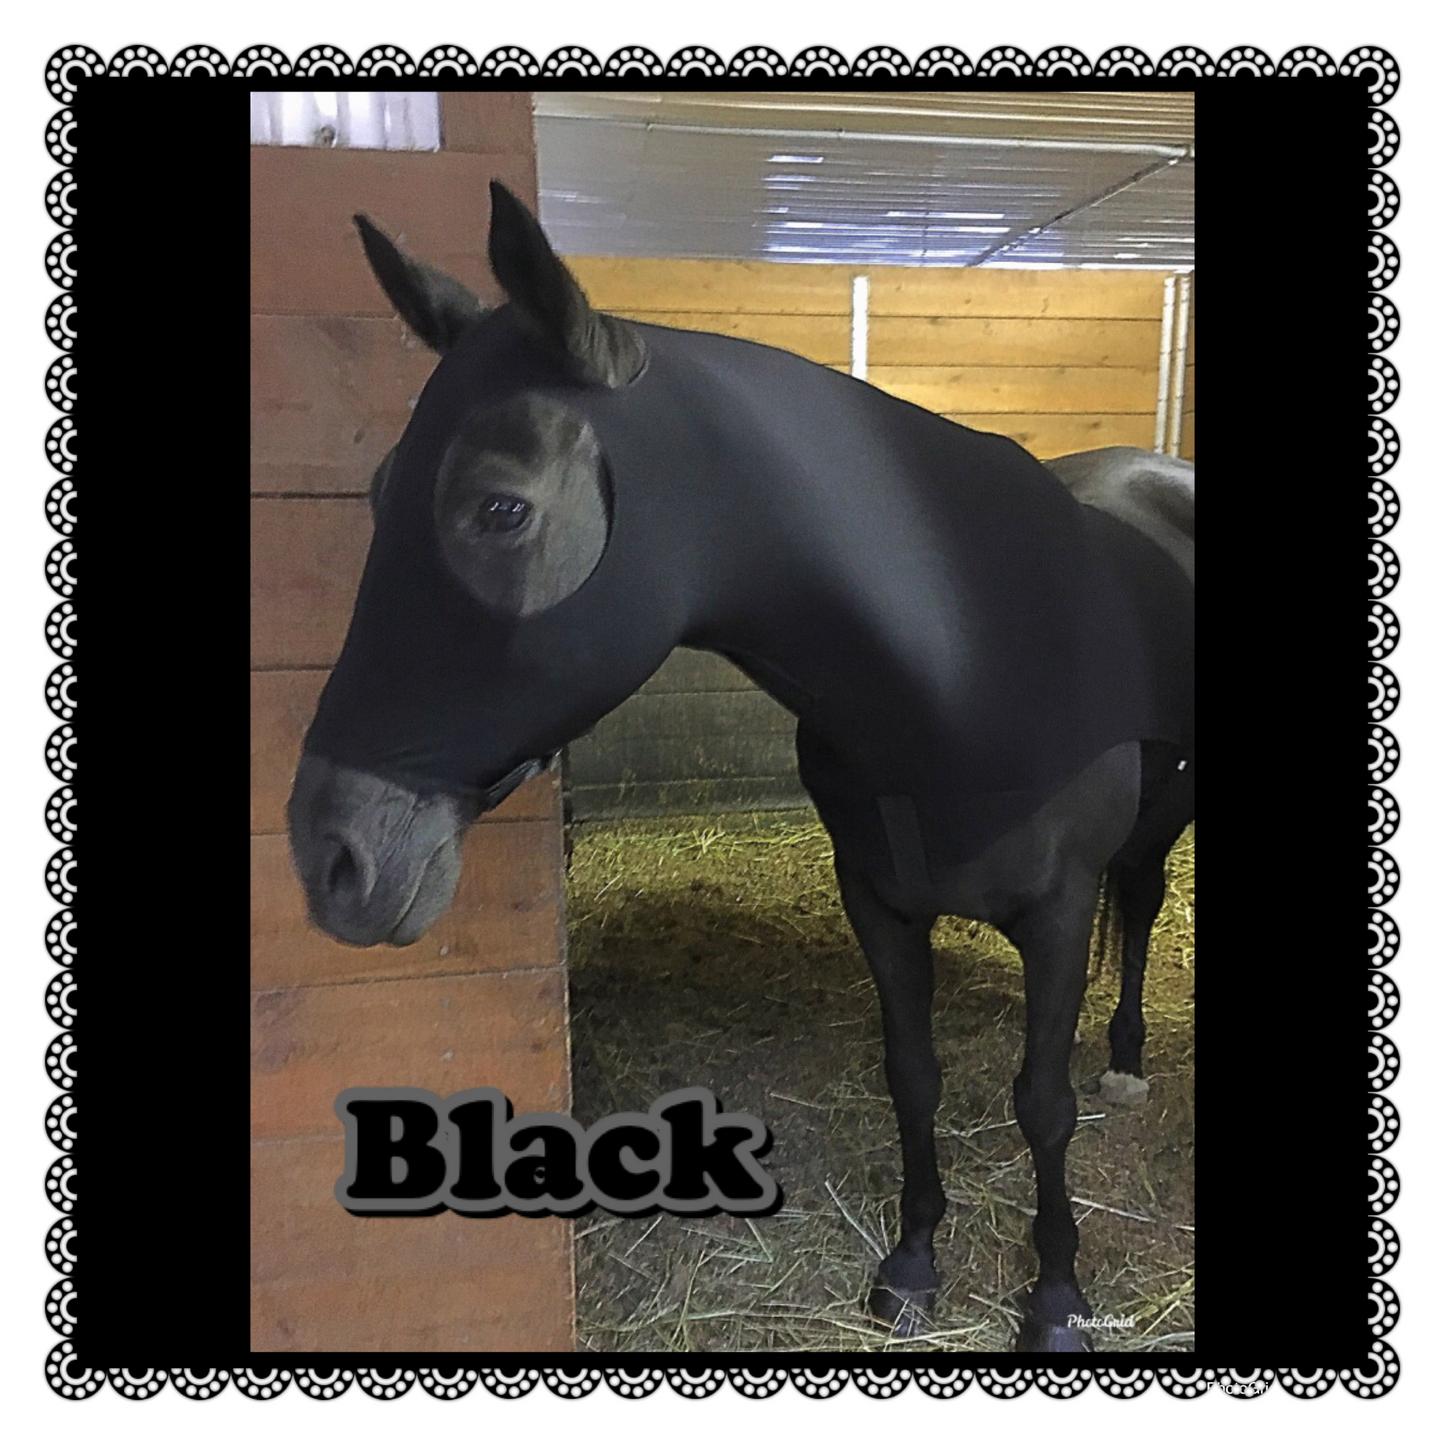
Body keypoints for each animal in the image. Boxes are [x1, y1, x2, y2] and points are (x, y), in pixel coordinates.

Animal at [286, 181, 1195, 1353]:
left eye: (500, 507)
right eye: (375, 492)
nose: (330, 854)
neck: (960, 660)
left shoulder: (1054, 908)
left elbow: (1040, 1101)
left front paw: (1054, 1298)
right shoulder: (877, 899)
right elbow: (912, 1076)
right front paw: (911, 1262)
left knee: (1143, 900)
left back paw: (1123, 1058)